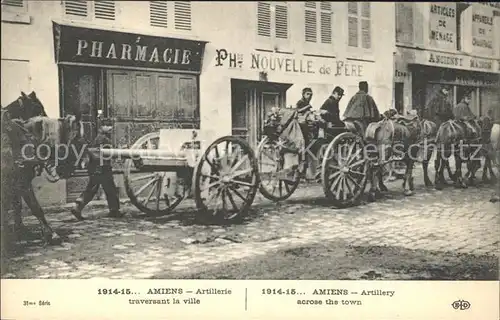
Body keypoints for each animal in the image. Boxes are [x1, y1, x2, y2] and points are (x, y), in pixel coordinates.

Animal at [0, 92, 84, 248]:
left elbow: (17, 206)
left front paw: (19, 230)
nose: (69, 169)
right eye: (78, 140)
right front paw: (51, 234)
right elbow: (34, 207)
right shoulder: (21, 183)